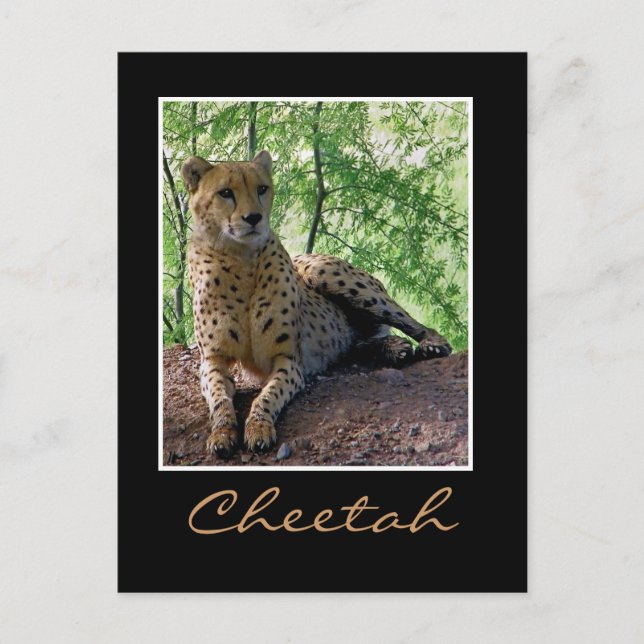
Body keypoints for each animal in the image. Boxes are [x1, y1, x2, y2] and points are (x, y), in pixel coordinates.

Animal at [181, 150, 452, 458]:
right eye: (225, 192)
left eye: (261, 188)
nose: (254, 218)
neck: (241, 258)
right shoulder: (212, 359)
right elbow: (219, 398)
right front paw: (222, 432)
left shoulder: (288, 359)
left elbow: (267, 396)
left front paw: (259, 427)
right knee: (357, 342)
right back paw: (394, 348)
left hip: (329, 275)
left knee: (408, 323)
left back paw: (429, 344)